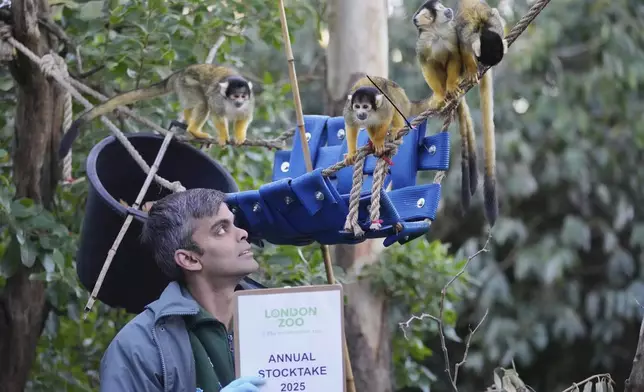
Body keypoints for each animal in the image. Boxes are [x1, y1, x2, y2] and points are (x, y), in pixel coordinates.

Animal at [57, 62, 254, 158]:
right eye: (235, 96)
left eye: (243, 96)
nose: (239, 101)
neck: (231, 104)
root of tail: (179, 73)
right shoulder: (218, 100)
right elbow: (216, 113)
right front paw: (223, 136)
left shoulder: (249, 103)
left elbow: (244, 117)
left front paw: (240, 136)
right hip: (188, 83)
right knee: (202, 102)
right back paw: (193, 130)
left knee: (194, 104)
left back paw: (188, 124)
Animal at [412, 0, 478, 214]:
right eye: (440, 9)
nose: (448, 9)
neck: (436, 32)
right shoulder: (422, 43)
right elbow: (426, 65)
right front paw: (441, 96)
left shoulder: (451, 34)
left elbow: (454, 58)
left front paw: (450, 87)